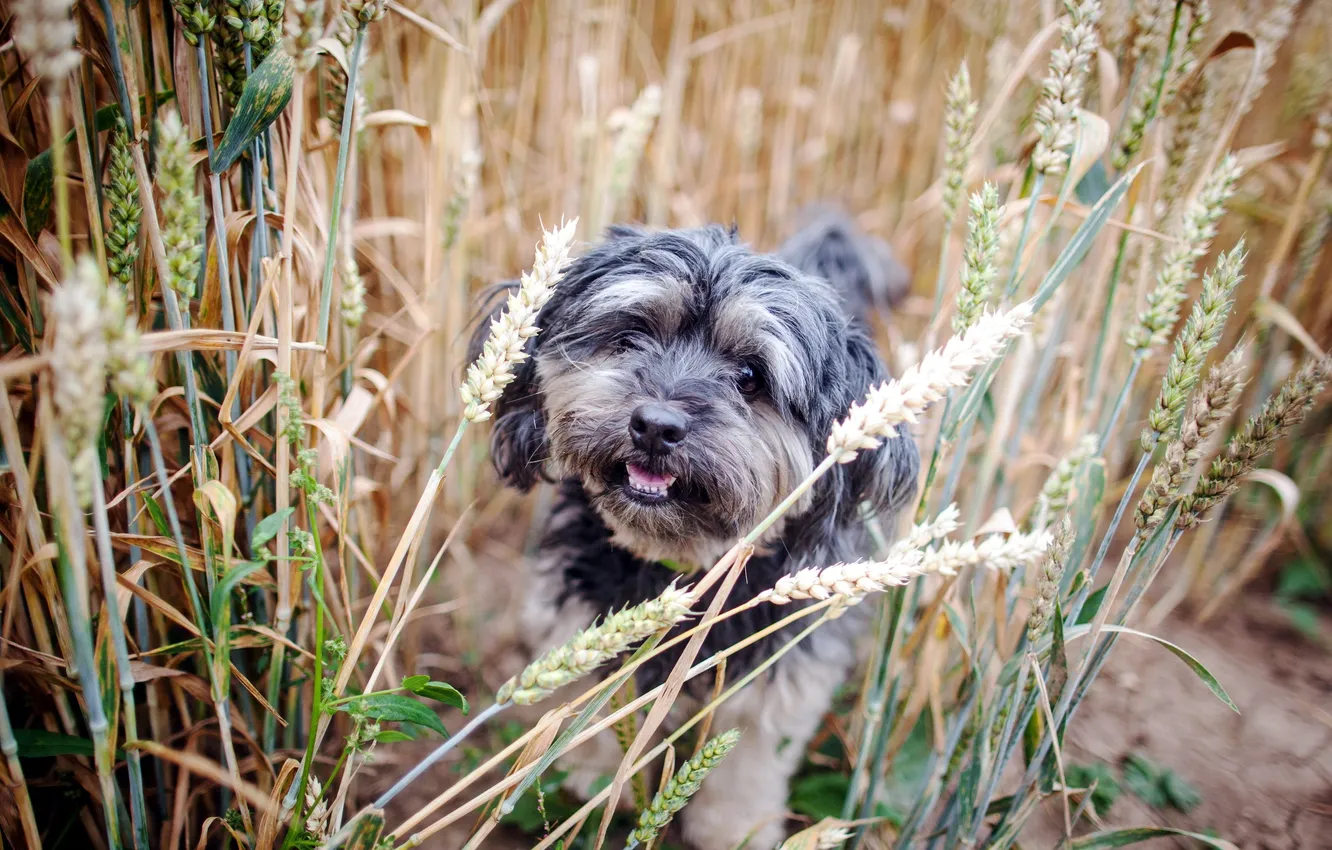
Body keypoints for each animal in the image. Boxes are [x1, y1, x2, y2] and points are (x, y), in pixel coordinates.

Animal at [476, 214, 916, 850]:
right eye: (632, 334)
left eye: (750, 375)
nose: (656, 426)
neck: (682, 570)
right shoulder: (578, 623)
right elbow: (591, 714)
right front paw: (587, 782)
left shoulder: (777, 682)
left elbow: (744, 770)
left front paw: (740, 832)